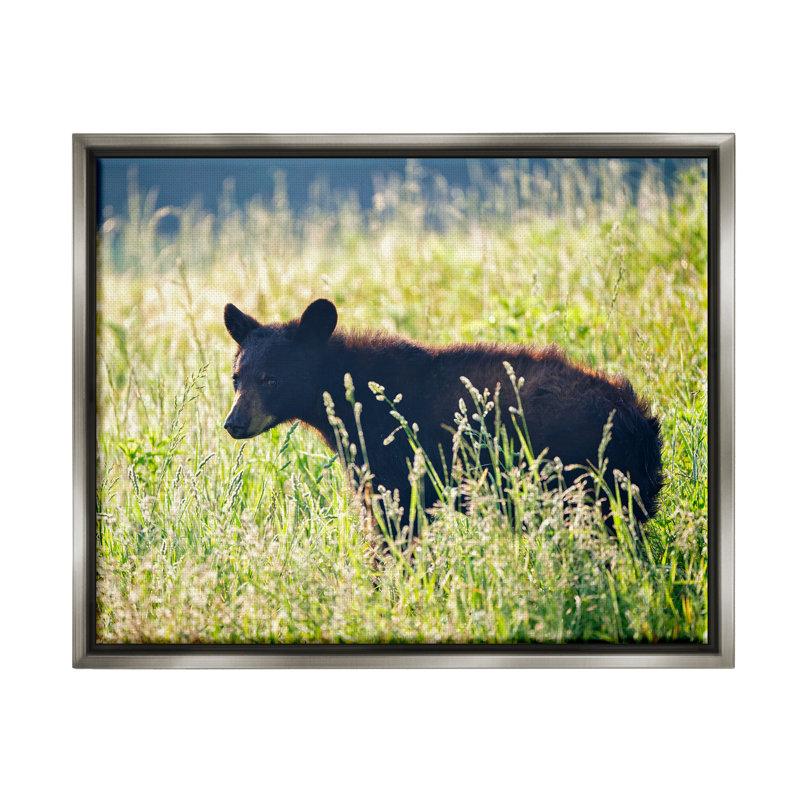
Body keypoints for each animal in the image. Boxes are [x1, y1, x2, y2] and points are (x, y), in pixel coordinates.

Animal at [223, 298, 663, 534]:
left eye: (271, 378)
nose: (234, 423)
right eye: (236, 377)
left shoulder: (396, 464)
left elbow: (394, 529)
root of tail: (638, 421)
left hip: (583, 482)